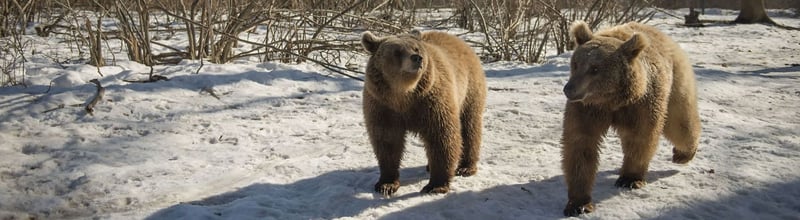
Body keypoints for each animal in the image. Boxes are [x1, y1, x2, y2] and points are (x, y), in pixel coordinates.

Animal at [362, 30, 488, 195]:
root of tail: (461, 42)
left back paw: (466, 167)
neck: (403, 94)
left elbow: (441, 137)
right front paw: (386, 184)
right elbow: (387, 142)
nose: (417, 58)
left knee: (470, 128)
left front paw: (436, 185)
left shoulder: (431, 102)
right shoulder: (383, 106)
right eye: (397, 51)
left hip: (469, 91)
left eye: (416, 48)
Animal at [560, 21, 704, 217]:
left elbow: (641, 137)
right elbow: (580, 146)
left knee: (680, 122)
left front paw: (629, 178)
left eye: (595, 68)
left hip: (675, 83)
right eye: (576, 63)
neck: (613, 100)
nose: (569, 89)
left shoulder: (642, 103)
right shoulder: (587, 109)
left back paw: (683, 154)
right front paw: (579, 203)